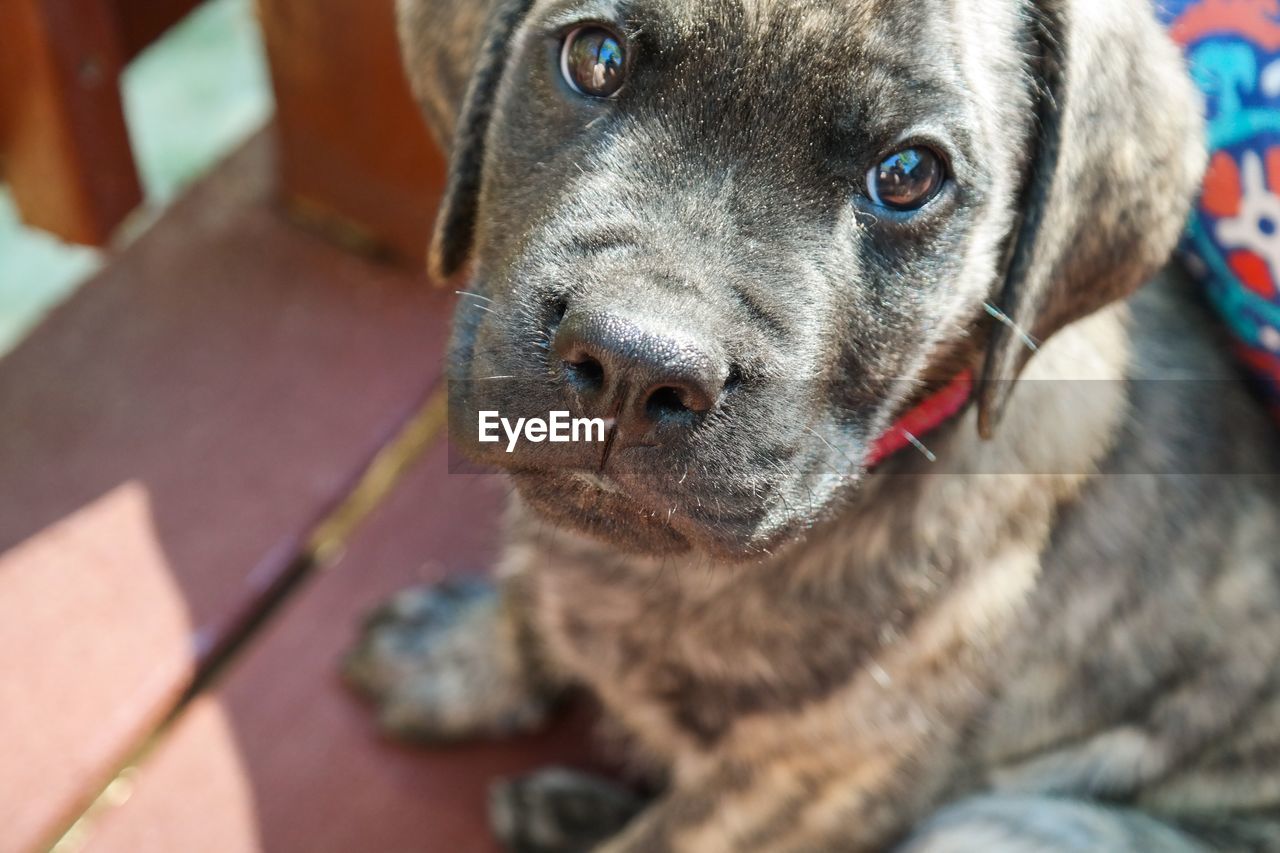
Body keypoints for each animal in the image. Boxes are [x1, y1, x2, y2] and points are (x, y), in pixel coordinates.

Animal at [340, 0, 1280, 845]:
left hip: (993, 826)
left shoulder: (799, 785)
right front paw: (462, 652)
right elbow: (539, 593)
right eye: (594, 58)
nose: (635, 364)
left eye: (907, 175)